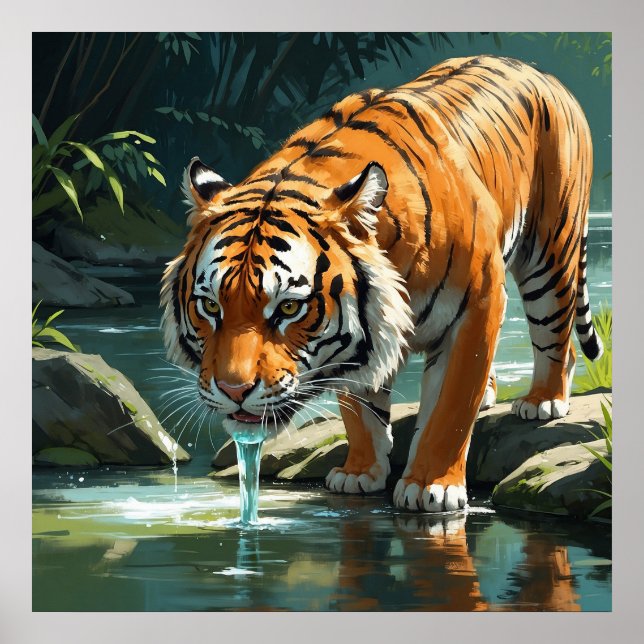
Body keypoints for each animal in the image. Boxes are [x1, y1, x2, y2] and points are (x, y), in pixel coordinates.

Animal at [161, 55, 603, 512]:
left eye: (288, 307)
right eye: (211, 306)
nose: (234, 391)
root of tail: (538, 71)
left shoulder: (475, 305)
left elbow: (449, 408)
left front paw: (431, 486)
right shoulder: (361, 342)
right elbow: (360, 408)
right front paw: (359, 472)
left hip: (551, 253)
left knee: (558, 337)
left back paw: (542, 401)